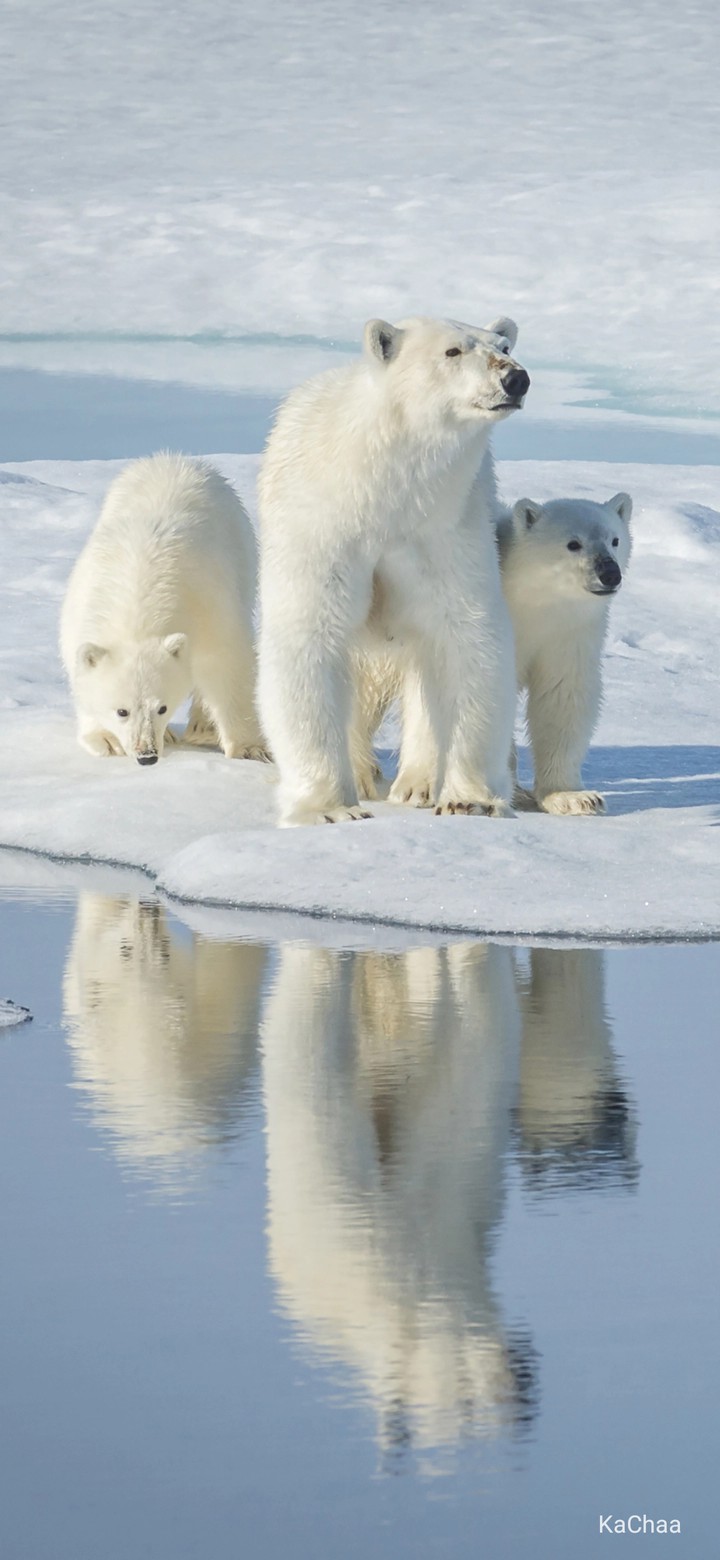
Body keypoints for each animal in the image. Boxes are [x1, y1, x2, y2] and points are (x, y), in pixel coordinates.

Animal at [60, 452, 268, 763]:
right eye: (122, 711)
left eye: (162, 707)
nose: (147, 755)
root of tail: (173, 459)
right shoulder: (82, 605)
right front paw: (106, 739)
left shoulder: (208, 604)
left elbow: (228, 663)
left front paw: (249, 748)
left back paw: (202, 726)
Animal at [257, 315, 529, 826]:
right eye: (452, 351)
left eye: (504, 346)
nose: (514, 378)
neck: (386, 489)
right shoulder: (324, 526)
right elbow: (310, 637)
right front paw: (330, 808)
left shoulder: (446, 530)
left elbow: (468, 638)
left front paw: (469, 799)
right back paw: (364, 776)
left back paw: (415, 783)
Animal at [498, 492, 632, 814]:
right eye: (573, 543)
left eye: (615, 539)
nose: (609, 573)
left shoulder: (567, 633)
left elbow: (562, 697)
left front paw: (574, 797)